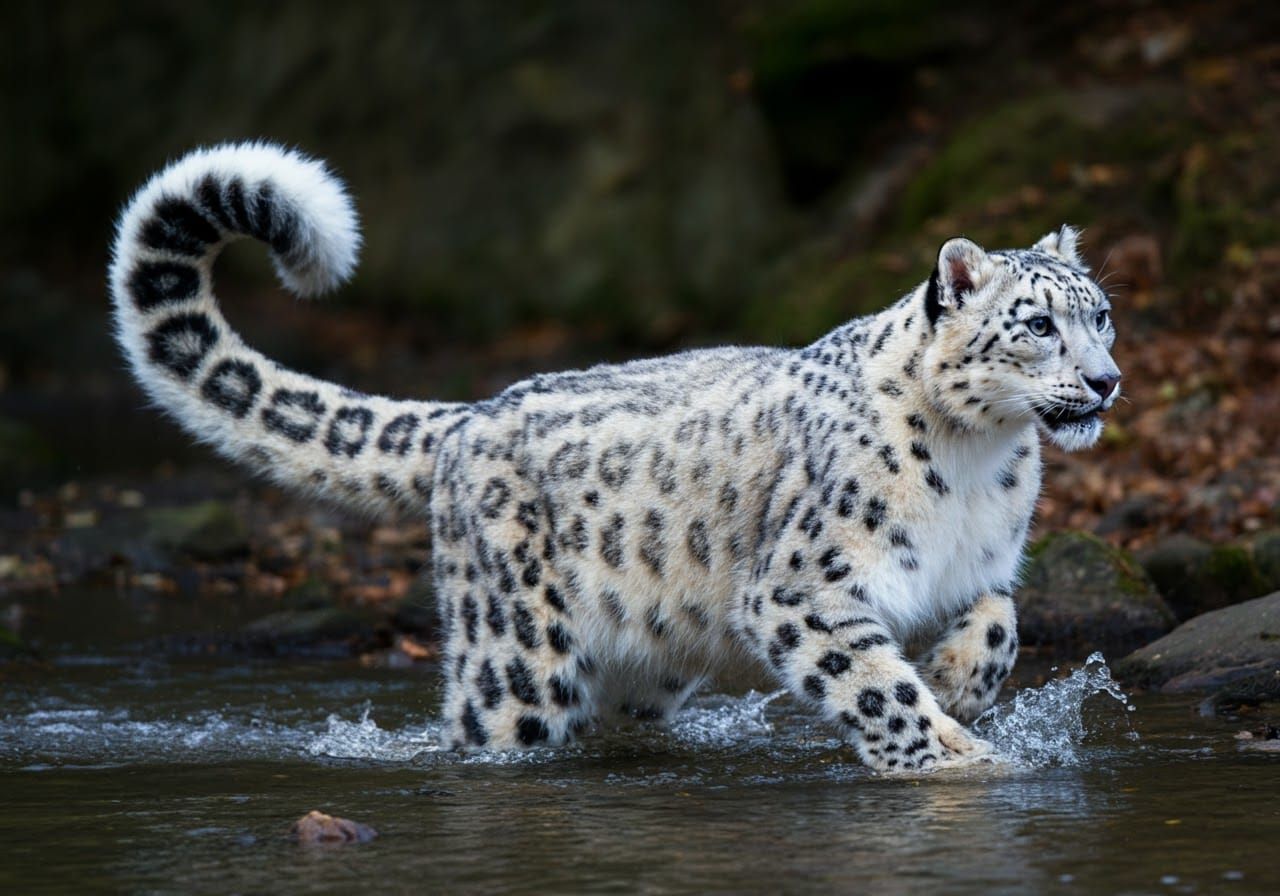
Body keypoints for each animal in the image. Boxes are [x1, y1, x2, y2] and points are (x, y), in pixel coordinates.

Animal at [109, 142, 1121, 771]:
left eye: (1101, 313)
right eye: (1038, 324)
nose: (1107, 380)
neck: (978, 460)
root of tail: (471, 414)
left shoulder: (977, 565)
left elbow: (1000, 623)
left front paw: (958, 684)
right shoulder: (802, 588)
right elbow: (876, 688)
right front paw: (949, 756)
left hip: (642, 668)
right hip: (515, 657)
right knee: (493, 723)